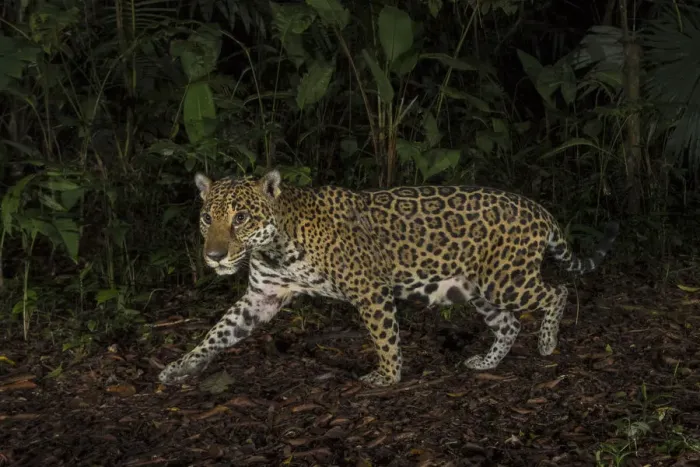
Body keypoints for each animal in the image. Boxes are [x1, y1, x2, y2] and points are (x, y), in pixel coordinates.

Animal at [158, 169, 619, 388]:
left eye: (242, 218)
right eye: (207, 217)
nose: (214, 257)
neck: (277, 244)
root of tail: (539, 209)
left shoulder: (369, 290)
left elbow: (383, 337)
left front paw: (388, 377)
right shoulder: (262, 297)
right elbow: (218, 332)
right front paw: (180, 367)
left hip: (507, 280)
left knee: (557, 291)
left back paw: (548, 342)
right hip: (477, 288)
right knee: (508, 323)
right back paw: (486, 363)